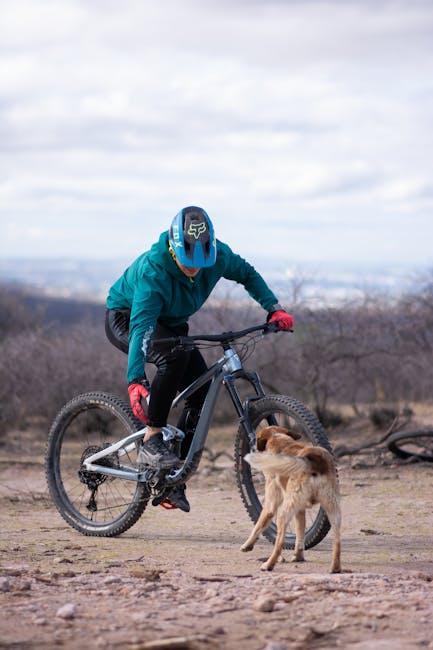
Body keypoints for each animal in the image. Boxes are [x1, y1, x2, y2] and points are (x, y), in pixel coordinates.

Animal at [241, 426, 340, 572]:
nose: (252, 445)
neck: (278, 438)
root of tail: (314, 459)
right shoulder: (300, 510)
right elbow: (300, 533)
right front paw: (298, 556)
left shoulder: (271, 504)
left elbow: (259, 525)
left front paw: (247, 545)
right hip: (333, 510)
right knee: (337, 541)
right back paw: (335, 568)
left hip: (283, 514)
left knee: (279, 544)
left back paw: (269, 564)